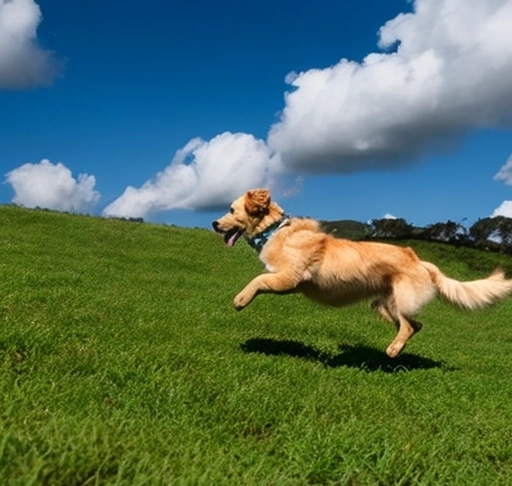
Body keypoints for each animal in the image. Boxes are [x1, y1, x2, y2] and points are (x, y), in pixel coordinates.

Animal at [211, 189, 512, 356]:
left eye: (231, 210)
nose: (213, 223)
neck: (274, 230)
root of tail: (418, 260)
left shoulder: (289, 279)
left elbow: (259, 278)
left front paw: (241, 300)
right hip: (384, 304)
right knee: (414, 325)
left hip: (400, 301)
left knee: (409, 325)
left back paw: (392, 351)